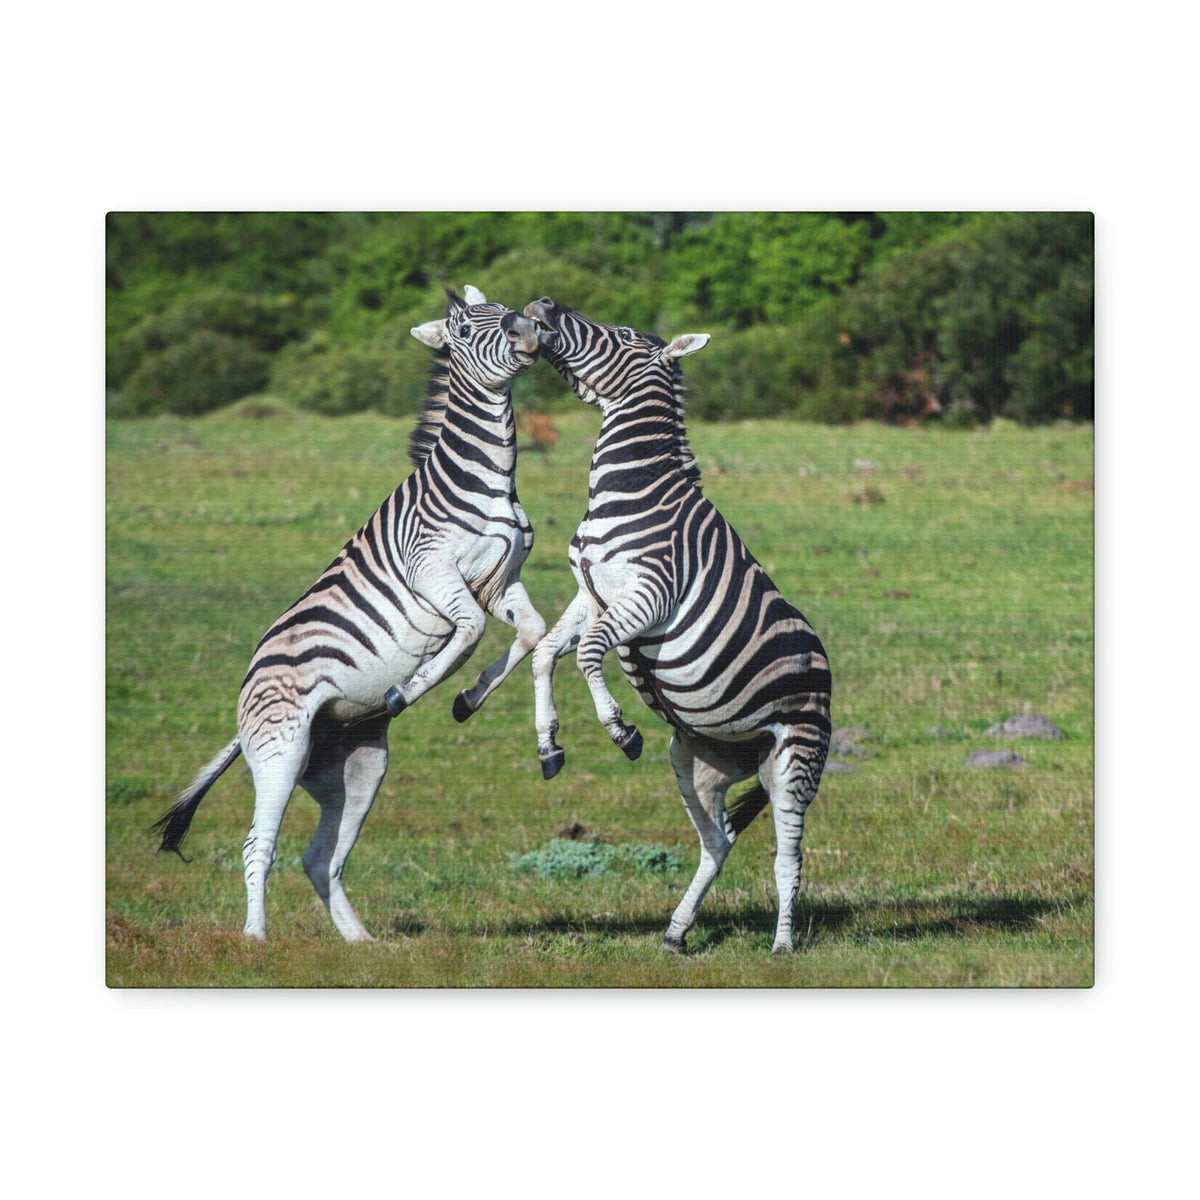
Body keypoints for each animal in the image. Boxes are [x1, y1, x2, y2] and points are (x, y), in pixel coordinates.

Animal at [152, 286, 547, 942]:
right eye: (468, 329)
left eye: (506, 309)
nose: (530, 331)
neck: (488, 479)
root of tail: (247, 687)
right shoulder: (433, 572)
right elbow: (468, 632)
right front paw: (412, 687)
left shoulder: (500, 581)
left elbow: (531, 632)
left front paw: (471, 701)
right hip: (281, 752)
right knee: (258, 844)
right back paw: (255, 939)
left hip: (355, 766)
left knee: (322, 857)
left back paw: (359, 943)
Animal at [523, 297, 832, 954]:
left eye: (620, 333)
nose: (541, 306)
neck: (630, 486)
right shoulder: (590, 593)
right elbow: (545, 654)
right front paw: (549, 744)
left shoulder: (649, 594)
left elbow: (587, 653)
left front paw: (618, 728)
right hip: (698, 760)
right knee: (717, 841)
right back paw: (675, 932)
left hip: (796, 758)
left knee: (788, 856)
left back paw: (783, 946)